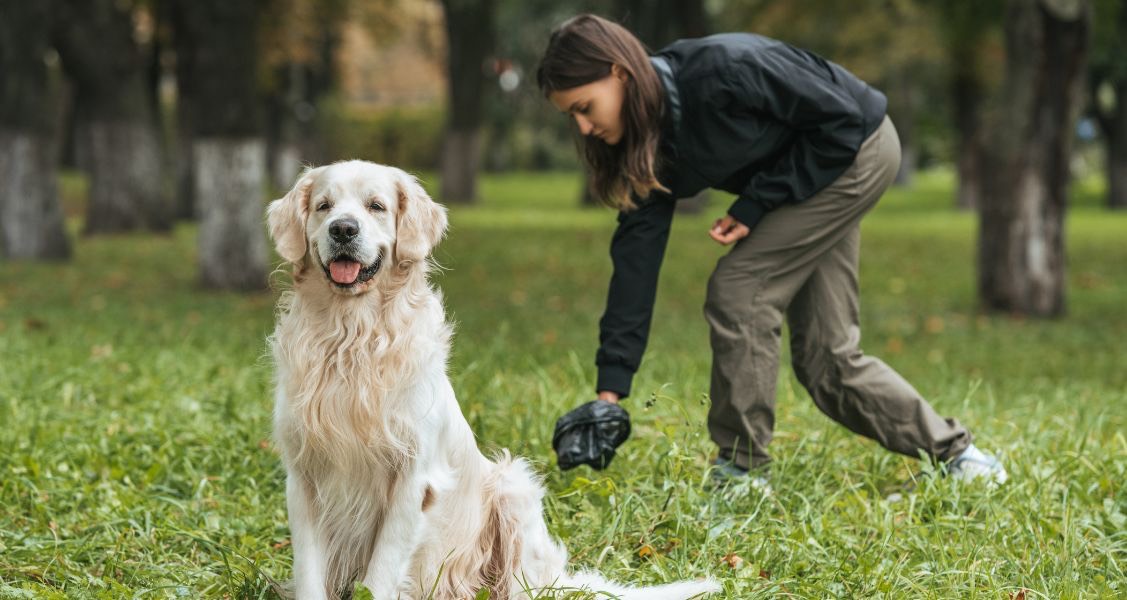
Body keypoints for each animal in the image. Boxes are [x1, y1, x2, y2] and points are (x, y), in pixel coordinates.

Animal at [268, 160, 716, 600]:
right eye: (324, 206)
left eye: (376, 206)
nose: (343, 229)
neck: (351, 338)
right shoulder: (302, 476)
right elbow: (310, 573)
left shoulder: (413, 478)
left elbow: (380, 575)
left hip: (513, 488)